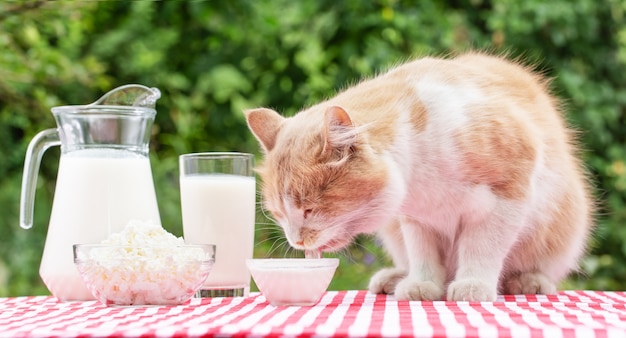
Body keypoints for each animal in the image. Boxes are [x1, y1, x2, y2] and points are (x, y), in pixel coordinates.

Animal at [243, 52, 588, 302]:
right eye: (279, 214)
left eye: (309, 209)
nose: (296, 241)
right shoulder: (416, 218)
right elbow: (423, 254)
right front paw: (422, 284)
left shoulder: (506, 196)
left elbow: (482, 247)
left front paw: (473, 283)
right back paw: (395, 277)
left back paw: (529, 281)